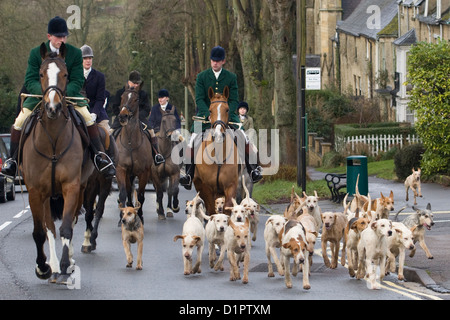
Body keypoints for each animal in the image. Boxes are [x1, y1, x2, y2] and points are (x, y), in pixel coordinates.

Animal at [20, 43, 94, 284]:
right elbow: (40, 231)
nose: (53, 108)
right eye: (41, 74)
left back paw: (66, 261)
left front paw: (64, 265)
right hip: (46, 197)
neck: (52, 138)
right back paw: (51, 265)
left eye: (65, 74)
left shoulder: (71, 186)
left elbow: (67, 228)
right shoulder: (35, 191)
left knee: (69, 222)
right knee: (50, 228)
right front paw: (43, 267)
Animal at [115, 86, 154, 224]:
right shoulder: (121, 169)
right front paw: (122, 216)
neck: (131, 142)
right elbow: (123, 193)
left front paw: (140, 216)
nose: (123, 116)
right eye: (122, 97)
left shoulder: (144, 172)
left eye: (136, 99)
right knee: (127, 191)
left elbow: (141, 195)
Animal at [194, 85, 241, 215]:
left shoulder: (231, 185)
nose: (218, 135)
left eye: (227, 110)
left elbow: (227, 208)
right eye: (210, 110)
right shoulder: (207, 188)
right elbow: (212, 210)